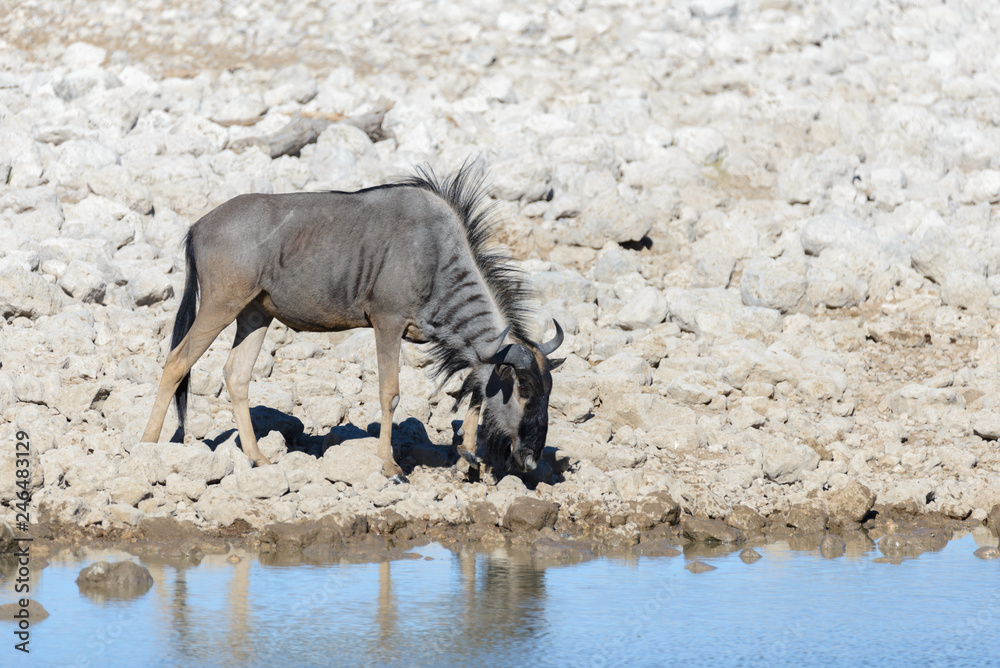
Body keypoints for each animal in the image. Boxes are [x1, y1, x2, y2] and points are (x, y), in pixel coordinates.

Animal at [140, 163, 564, 480]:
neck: (436, 254)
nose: (530, 458)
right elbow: (390, 393)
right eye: (524, 391)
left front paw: (468, 459)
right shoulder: (387, 323)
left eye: (548, 392)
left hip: (254, 315)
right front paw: (390, 465)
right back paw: (147, 445)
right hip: (220, 305)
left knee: (236, 374)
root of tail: (198, 227)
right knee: (177, 361)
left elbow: (475, 390)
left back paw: (258, 458)